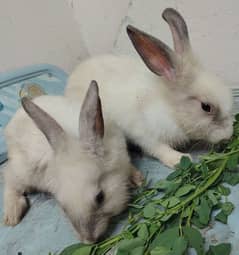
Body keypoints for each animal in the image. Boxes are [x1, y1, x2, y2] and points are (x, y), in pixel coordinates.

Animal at [3, 81, 142, 243]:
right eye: (63, 208)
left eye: (100, 197)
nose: (88, 241)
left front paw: (137, 179)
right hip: (23, 172)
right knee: (9, 179)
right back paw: (12, 216)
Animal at [64, 7, 232, 167]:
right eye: (206, 107)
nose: (228, 135)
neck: (170, 109)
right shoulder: (145, 134)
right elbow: (158, 148)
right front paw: (179, 159)